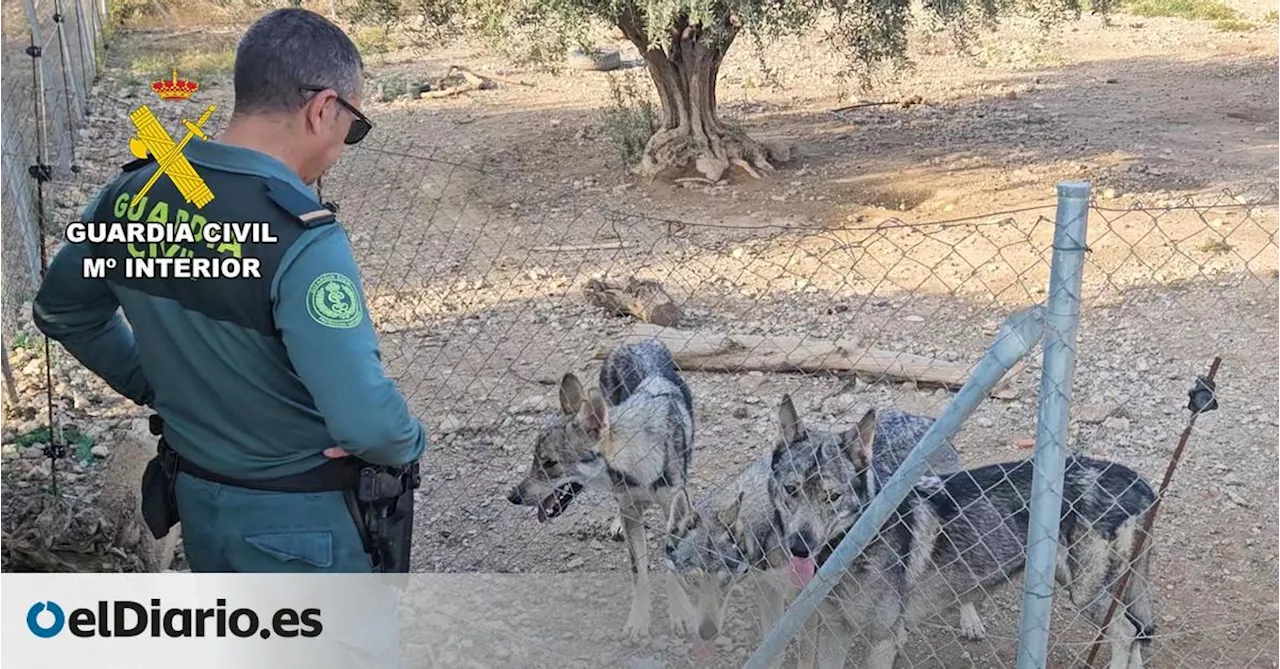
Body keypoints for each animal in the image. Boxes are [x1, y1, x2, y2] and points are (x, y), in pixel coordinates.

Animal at [504, 342, 696, 642]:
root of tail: (636, 342)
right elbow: (638, 572)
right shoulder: (628, 505)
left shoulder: (672, 510)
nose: (513, 496)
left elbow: (670, 564)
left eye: (549, 463)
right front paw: (638, 622)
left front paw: (681, 615)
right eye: (535, 460)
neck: (640, 465)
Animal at [660, 396, 967, 660]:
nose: (801, 549)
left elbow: (806, 658)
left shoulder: (809, 611)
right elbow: (773, 646)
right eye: (790, 489)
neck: (771, 531)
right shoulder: (768, 591)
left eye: (832, 496)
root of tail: (923, 418)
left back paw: (970, 621)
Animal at [768, 409, 1162, 669]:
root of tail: (1139, 481)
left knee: (1126, 633)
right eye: (791, 490)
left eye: (832, 497)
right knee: (1136, 634)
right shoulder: (834, 630)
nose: (799, 547)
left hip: (1087, 594)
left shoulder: (884, 639)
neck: (853, 543)